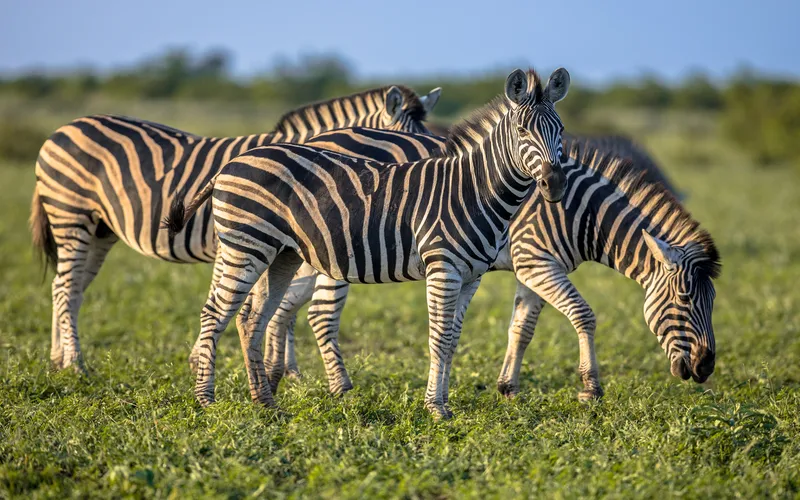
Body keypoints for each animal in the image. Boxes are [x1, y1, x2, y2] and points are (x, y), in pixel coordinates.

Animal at [29, 84, 441, 373]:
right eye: (409, 140)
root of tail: (62, 129)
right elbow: (263, 303)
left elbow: (273, 304)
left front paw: (280, 370)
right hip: (71, 216)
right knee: (66, 287)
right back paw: (76, 364)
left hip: (101, 230)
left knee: (67, 288)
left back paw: (58, 359)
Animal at [164, 68, 571, 418]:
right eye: (522, 130)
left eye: (561, 130)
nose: (554, 184)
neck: (473, 189)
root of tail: (231, 163)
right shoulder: (443, 268)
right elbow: (439, 337)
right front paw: (436, 408)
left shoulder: (471, 276)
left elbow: (454, 338)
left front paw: (443, 403)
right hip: (246, 244)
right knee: (215, 313)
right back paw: (206, 400)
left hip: (281, 253)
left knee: (252, 318)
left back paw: (265, 402)